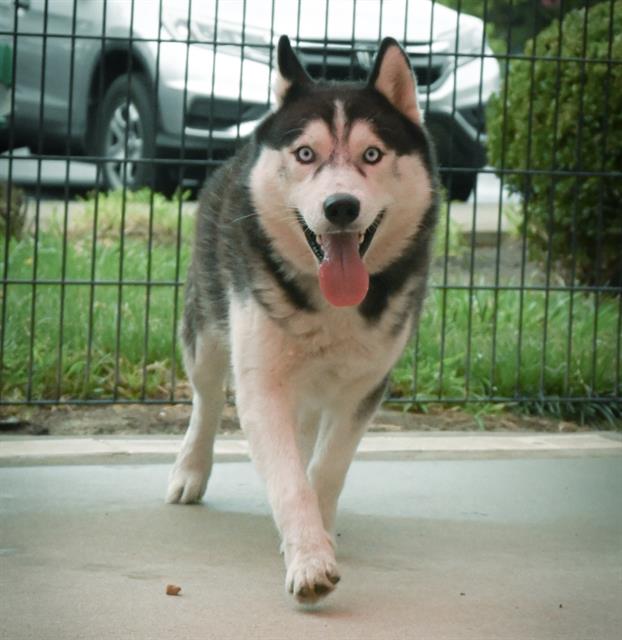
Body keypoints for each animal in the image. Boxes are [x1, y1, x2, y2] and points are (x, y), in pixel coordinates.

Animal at [166, 36, 438, 604]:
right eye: (306, 154)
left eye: (372, 154)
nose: (341, 207)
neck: (331, 304)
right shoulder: (262, 383)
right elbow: (289, 480)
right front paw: (309, 560)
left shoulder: (364, 385)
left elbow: (326, 466)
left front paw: (318, 527)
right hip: (206, 329)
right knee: (206, 398)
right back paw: (190, 470)